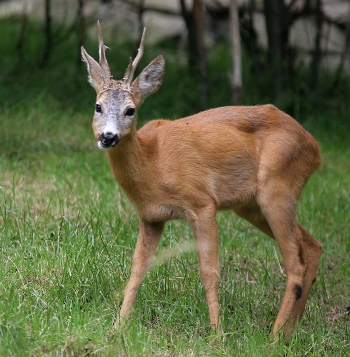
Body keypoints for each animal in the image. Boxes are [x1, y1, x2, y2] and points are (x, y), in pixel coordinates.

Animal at [82, 20, 322, 338]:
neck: (154, 163)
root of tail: (315, 148)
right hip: (252, 204)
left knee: (295, 263)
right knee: (312, 246)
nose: (108, 137)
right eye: (98, 106)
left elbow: (210, 272)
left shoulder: (202, 202)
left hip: (276, 187)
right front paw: (118, 327)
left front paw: (217, 334)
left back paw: (273, 336)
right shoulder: (151, 216)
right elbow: (137, 269)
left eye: (130, 110)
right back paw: (290, 333)